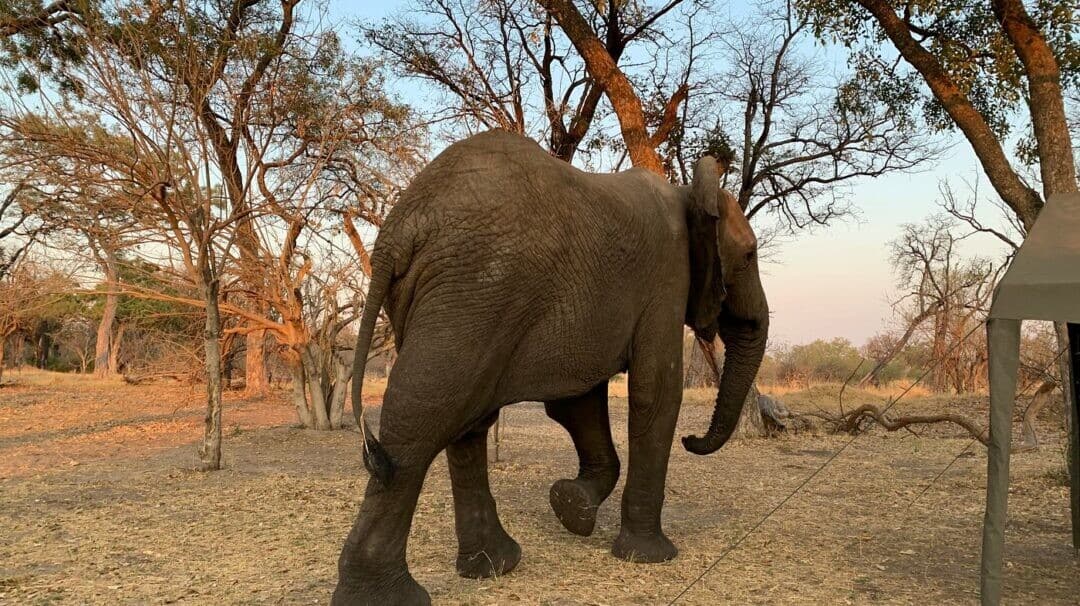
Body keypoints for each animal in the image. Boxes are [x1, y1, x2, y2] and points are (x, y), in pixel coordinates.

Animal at [334, 130, 768, 600]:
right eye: (748, 256)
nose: (692, 439)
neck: (688, 192)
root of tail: (398, 231)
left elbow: (578, 403)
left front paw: (571, 507)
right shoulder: (667, 275)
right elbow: (655, 393)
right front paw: (649, 557)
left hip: (446, 295)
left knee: (464, 422)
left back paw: (494, 566)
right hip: (476, 289)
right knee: (423, 417)